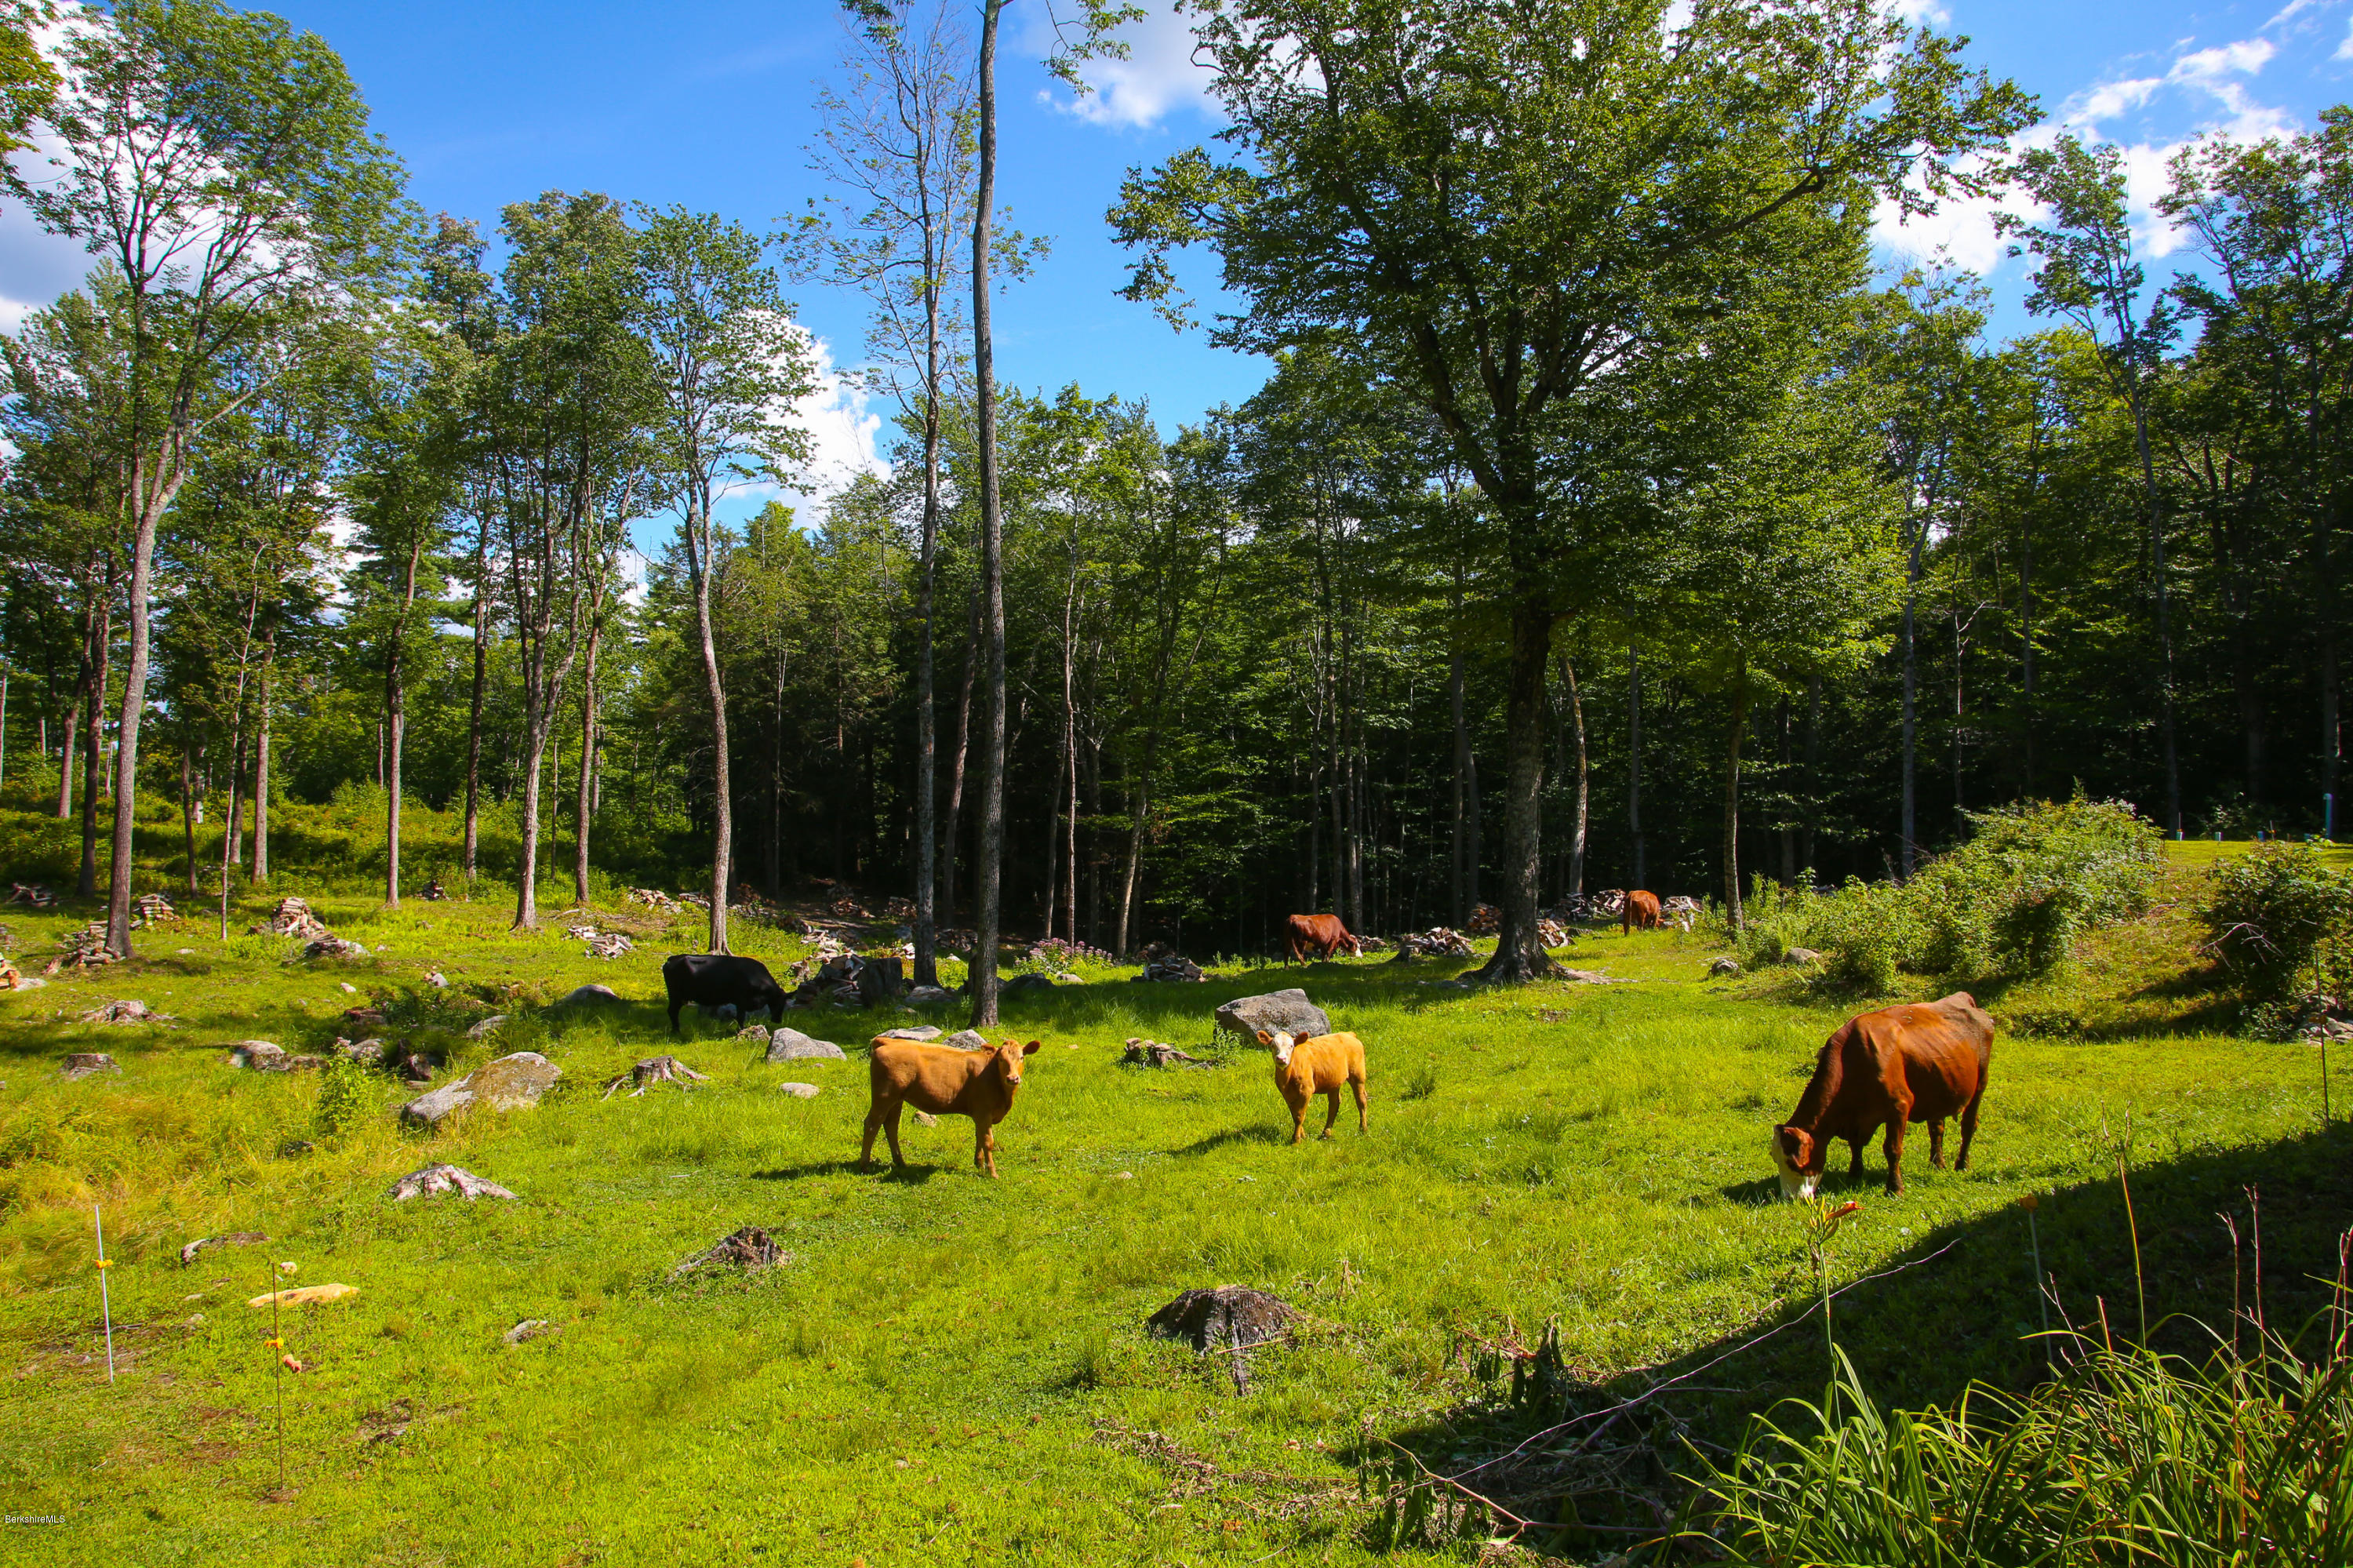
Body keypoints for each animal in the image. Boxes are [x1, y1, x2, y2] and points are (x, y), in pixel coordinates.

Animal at [661, 953, 790, 1037]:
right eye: (779, 1002)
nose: (778, 1020)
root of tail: (671, 959)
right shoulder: (741, 1000)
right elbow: (740, 1018)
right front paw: (741, 1031)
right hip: (676, 995)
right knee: (672, 1011)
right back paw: (676, 1031)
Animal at [861, 1036, 1041, 1178]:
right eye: (1001, 1059)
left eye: (1022, 1057)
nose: (1013, 1078)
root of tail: (888, 1041)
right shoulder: (983, 1111)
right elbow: (987, 1141)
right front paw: (992, 1172)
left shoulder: (980, 1114)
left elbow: (979, 1137)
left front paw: (979, 1164)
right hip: (884, 1096)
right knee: (871, 1125)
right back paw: (865, 1165)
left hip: (897, 1099)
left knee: (891, 1126)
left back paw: (900, 1162)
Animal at [1255, 1028, 1369, 1144]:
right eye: (1273, 1045)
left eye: (1291, 1046)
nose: (1281, 1059)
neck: (1288, 1078)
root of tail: (1348, 1034)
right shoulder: (1286, 1093)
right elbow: (1294, 1114)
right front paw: (1302, 1136)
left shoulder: (1306, 1090)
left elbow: (1299, 1115)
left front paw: (1296, 1139)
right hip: (1334, 1080)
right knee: (1334, 1104)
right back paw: (1325, 1134)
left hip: (1358, 1075)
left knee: (1361, 1101)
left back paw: (1363, 1129)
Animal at [1771, 991, 1993, 1199]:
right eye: (1775, 1158)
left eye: (1794, 1162)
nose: (1790, 1198)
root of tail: (1963, 999)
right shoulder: (1856, 1119)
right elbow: (1855, 1144)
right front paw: (1855, 1173)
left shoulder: (1899, 1106)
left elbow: (1892, 1149)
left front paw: (1894, 1188)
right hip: (1937, 1086)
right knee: (1936, 1128)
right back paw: (1937, 1163)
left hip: (1980, 1084)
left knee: (1968, 1126)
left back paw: (1962, 1164)